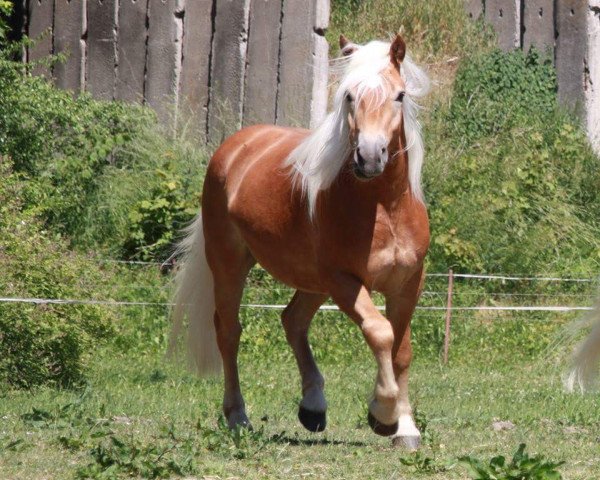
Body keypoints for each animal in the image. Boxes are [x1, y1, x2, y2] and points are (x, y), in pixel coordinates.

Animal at [172, 35, 432, 448]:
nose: (369, 157)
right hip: (230, 264)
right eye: (349, 96)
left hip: (313, 281)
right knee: (229, 332)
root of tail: (235, 146)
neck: (385, 210)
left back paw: (312, 407)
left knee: (292, 320)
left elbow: (401, 350)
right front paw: (383, 415)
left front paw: (405, 428)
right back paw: (238, 417)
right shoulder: (345, 282)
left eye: (400, 95)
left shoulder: (408, 283)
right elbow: (381, 334)